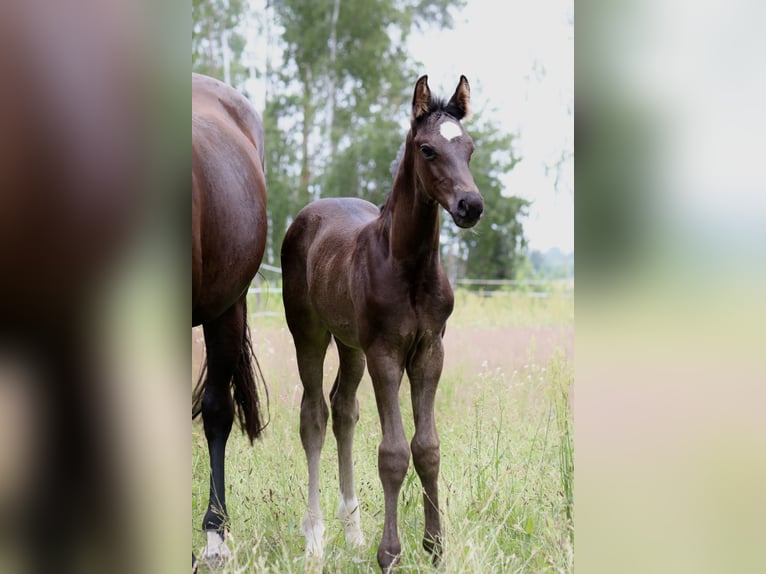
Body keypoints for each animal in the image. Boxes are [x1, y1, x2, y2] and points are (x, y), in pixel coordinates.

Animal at [282, 75, 486, 572]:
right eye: (428, 149)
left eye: (469, 147)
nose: (470, 205)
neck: (408, 267)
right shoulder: (385, 354)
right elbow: (393, 453)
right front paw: (389, 552)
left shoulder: (430, 351)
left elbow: (427, 448)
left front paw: (434, 546)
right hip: (309, 334)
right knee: (313, 416)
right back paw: (315, 538)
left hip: (350, 345)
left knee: (343, 410)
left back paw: (352, 531)